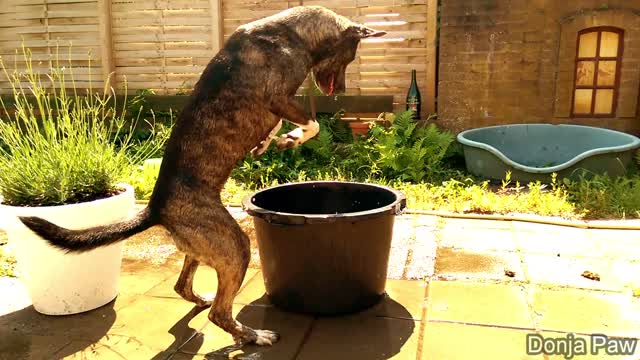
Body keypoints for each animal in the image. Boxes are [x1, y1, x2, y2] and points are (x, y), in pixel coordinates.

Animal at [18, 5, 384, 346]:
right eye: (351, 56)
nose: (342, 90)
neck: (293, 33)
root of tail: (156, 209)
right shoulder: (276, 96)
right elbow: (312, 122)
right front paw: (291, 138)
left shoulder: (276, 105)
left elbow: (279, 123)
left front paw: (270, 141)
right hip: (235, 246)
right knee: (220, 313)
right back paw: (253, 336)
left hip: (202, 248)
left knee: (183, 286)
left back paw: (204, 302)